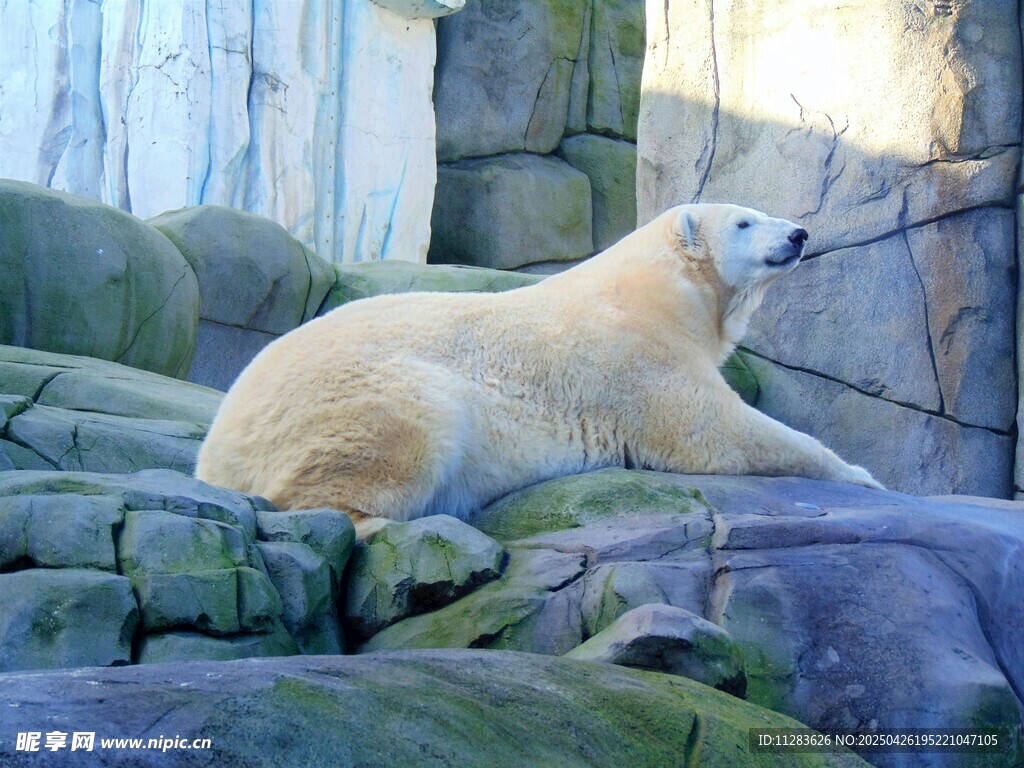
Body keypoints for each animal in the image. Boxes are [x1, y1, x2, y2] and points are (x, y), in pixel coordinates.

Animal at [195, 203, 882, 526]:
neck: (660, 293)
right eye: (744, 221)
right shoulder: (640, 356)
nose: (798, 233)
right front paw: (862, 475)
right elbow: (715, 429)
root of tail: (217, 448)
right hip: (363, 392)